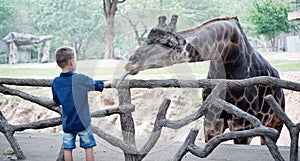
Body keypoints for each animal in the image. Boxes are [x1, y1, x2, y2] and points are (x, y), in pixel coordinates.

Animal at [118, 14, 284, 143]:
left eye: (169, 43)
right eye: (147, 38)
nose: (131, 62)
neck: (229, 55)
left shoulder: (243, 125)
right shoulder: (211, 122)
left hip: (274, 126)